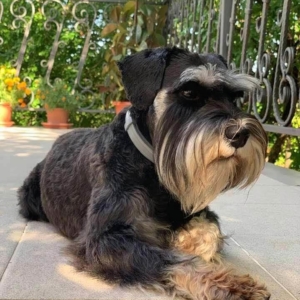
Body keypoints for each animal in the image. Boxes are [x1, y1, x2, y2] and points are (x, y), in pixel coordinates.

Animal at [19, 47, 270, 300]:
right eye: (189, 91)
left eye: (235, 96)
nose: (240, 134)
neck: (152, 168)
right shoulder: (105, 238)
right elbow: (169, 259)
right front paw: (230, 285)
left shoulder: (198, 211)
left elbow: (209, 233)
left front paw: (181, 240)